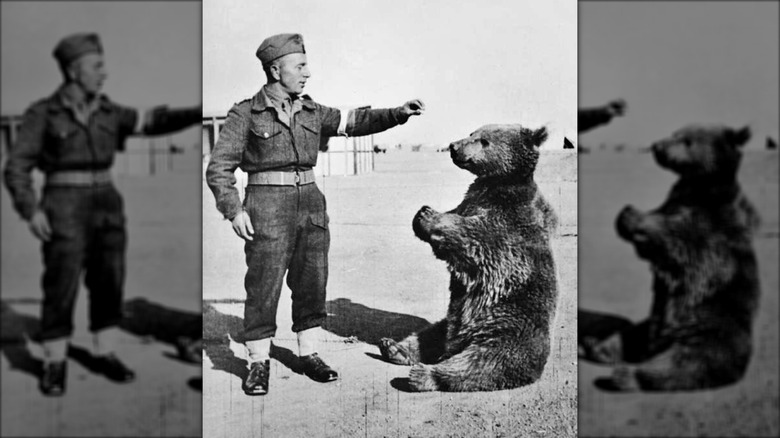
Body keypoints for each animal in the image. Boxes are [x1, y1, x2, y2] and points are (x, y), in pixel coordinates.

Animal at [380, 124, 556, 394]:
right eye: (472, 132)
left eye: (484, 140)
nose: (454, 146)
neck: (496, 183)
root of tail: (458, 342)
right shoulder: (470, 200)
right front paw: (422, 213)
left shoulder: (507, 221)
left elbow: (474, 237)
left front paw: (429, 215)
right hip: (450, 321)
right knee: (429, 334)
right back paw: (393, 347)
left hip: (507, 329)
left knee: (482, 362)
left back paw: (423, 375)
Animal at [584, 125, 760, 392]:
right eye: (675, 134)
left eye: (687, 140)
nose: (657, 146)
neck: (698, 185)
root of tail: (656, 347)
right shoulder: (676, 200)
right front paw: (627, 214)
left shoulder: (707, 224)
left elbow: (675, 238)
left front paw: (633, 215)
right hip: (651, 323)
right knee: (630, 334)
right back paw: (595, 345)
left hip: (711, 330)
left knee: (687, 363)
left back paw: (626, 375)